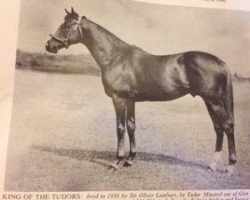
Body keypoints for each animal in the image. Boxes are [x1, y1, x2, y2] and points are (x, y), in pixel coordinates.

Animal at [46, 7, 236, 173]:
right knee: (218, 128)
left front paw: (117, 161)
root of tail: (221, 62)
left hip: (214, 102)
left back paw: (230, 166)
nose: (49, 45)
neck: (114, 57)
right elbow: (131, 126)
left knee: (227, 126)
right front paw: (130, 159)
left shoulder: (119, 99)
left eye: (67, 26)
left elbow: (120, 128)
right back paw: (212, 164)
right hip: (210, 102)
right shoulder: (131, 100)